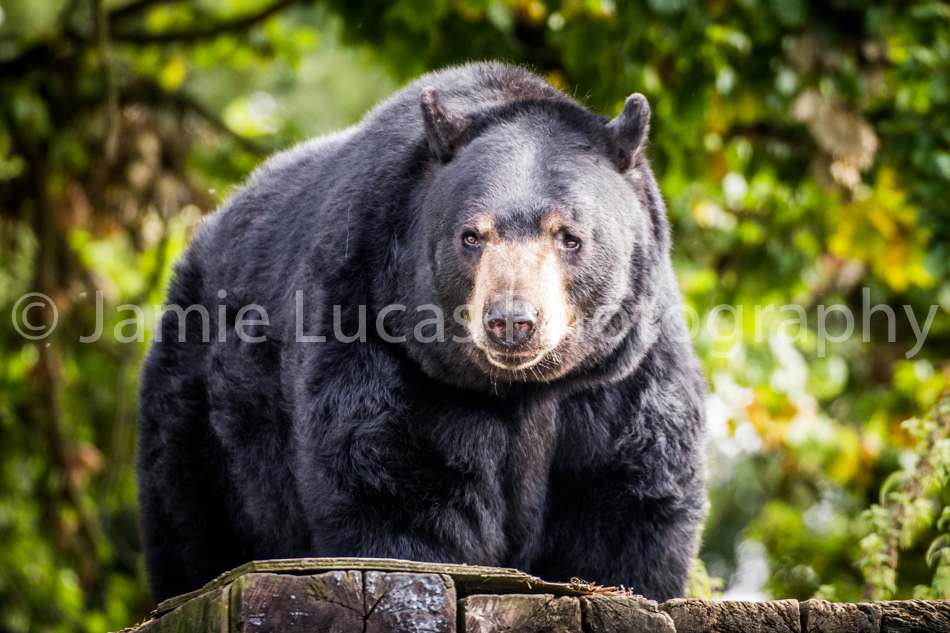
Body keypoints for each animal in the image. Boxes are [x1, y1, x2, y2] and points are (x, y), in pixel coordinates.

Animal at [136, 61, 707, 604]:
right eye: (471, 235)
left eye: (569, 236)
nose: (512, 321)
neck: (520, 388)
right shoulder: (378, 327)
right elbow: (395, 475)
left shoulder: (620, 373)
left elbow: (629, 497)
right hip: (196, 395)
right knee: (190, 516)